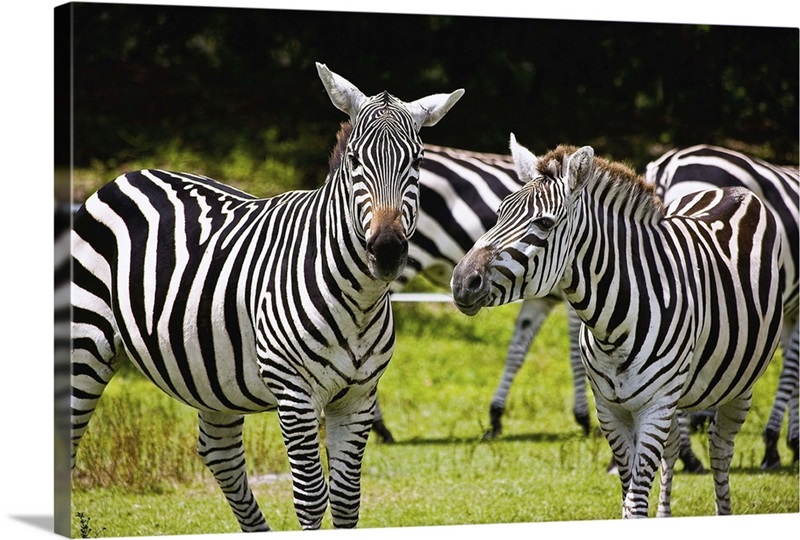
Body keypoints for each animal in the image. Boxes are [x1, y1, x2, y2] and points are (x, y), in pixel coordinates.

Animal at [70, 62, 463, 532]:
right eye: (354, 160)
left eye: (417, 162)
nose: (386, 250)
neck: (359, 302)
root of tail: (129, 174)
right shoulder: (294, 394)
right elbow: (311, 499)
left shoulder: (358, 398)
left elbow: (346, 501)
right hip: (83, 343)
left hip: (212, 375)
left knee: (219, 454)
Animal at [451, 138, 784, 517]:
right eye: (500, 213)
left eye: (545, 223)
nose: (462, 282)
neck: (612, 330)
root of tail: (733, 190)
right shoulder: (611, 410)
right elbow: (628, 493)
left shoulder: (655, 406)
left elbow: (634, 504)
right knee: (673, 451)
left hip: (739, 387)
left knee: (720, 450)